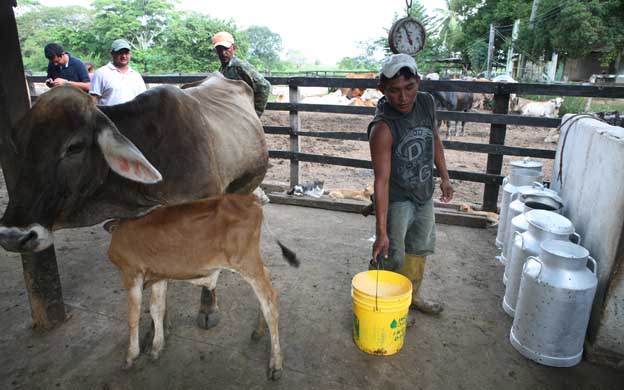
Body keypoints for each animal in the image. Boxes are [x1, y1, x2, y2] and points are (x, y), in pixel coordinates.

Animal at [108, 195, 300, 380]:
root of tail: (251, 199)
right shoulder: (159, 275)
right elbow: (157, 309)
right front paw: (156, 348)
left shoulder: (131, 272)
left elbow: (133, 316)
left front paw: (130, 356)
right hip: (253, 263)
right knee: (267, 280)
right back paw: (258, 331)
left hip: (246, 262)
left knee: (269, 300)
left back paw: (275, 363)